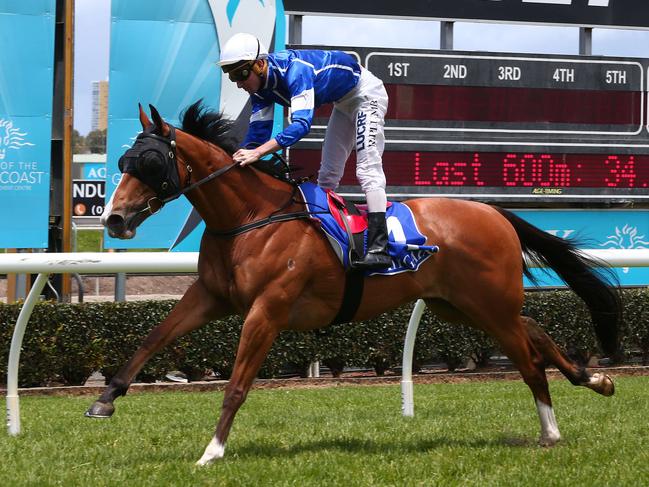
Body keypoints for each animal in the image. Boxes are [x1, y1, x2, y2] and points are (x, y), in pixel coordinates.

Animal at [86, 102, 616, 466]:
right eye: (124, 161)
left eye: (150, 163)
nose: (113, 219)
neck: (249, 218)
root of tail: (494, 212)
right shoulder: (211, 296)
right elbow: (153, 337)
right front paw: (105, 398)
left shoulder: (267, 309)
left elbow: (237, 384)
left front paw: (212, 451)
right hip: (458, 304)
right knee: (534, 330)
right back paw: (595, 379)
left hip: (486, 302)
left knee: (528, 360)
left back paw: (551, 430)